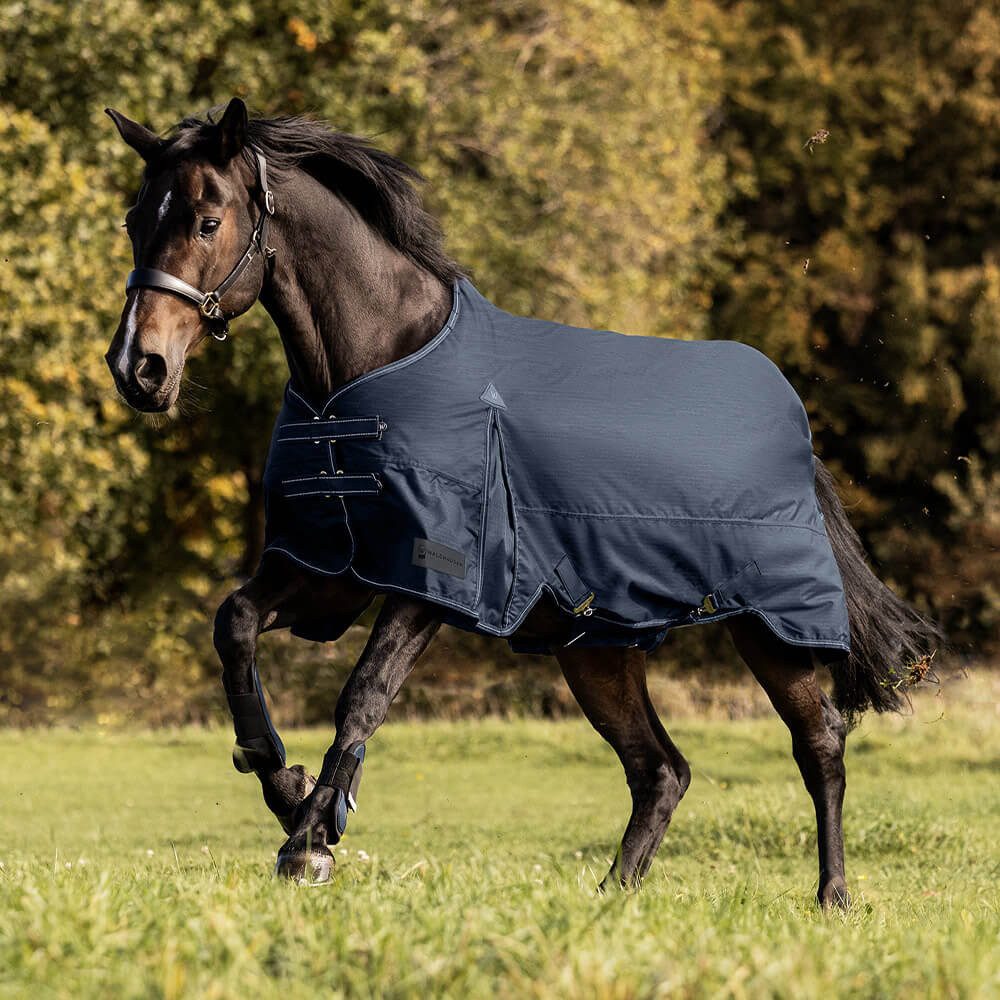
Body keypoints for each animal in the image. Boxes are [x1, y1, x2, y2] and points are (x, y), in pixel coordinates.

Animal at [104, 98, 937, 905]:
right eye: (136, 219)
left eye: (208, 221)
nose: (138, 367)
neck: (370, 368)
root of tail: (792, 427)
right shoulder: (328, 568)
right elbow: (235, 626)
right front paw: (282, 783)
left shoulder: (433, 581)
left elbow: (364, 693)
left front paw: (310, 841)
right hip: (598, 650)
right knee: (660, 770)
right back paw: (610, 897)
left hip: (772, 626)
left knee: (818, 740)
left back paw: (833, 897)